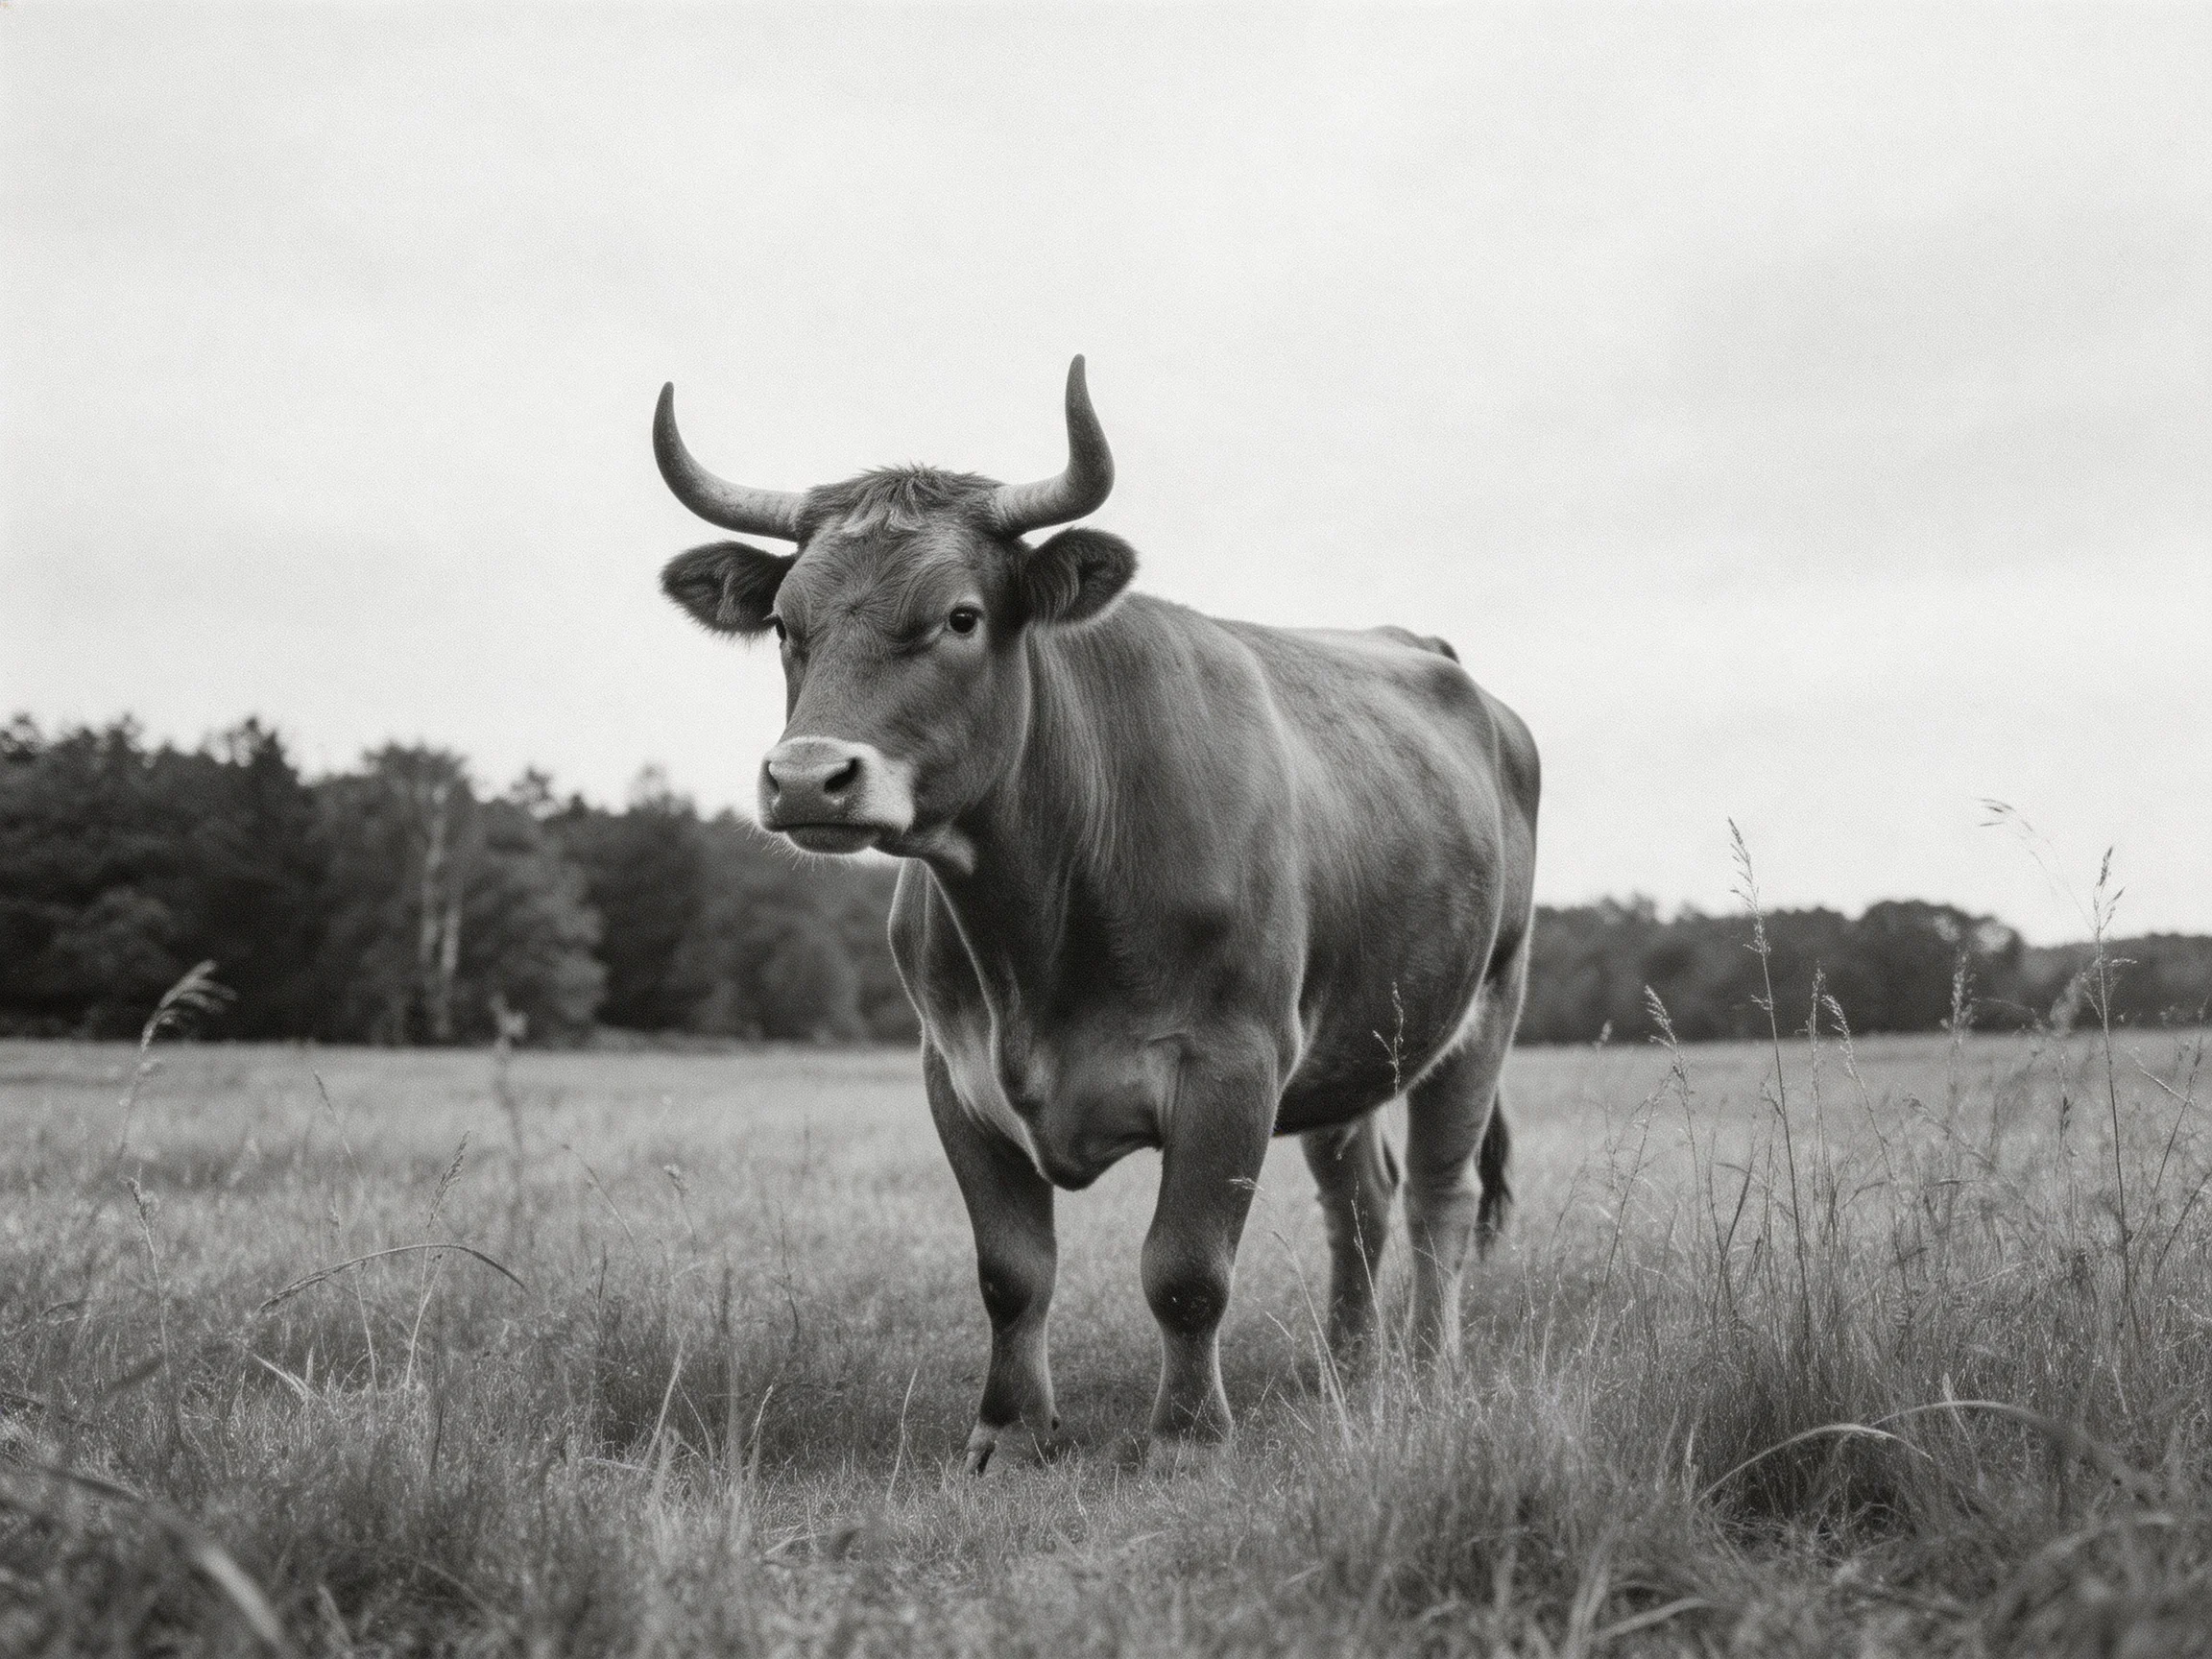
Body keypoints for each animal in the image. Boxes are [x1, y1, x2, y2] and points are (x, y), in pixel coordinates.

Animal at [653, 359, 1539, 1469]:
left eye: (960, 616)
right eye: (784, 624)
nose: (809, 778)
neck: (1037, 930)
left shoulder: (1233, 1064)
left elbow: (1187, 1270)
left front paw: (1188, 1434)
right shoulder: (955, 1074)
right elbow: (1011, 1273)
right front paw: (1009, 1430)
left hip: (1486, 1005)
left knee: (1436, 1198)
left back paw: (1425, 1372)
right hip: (1358, 1042)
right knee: (1359, 1203)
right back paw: (1347, 1367)